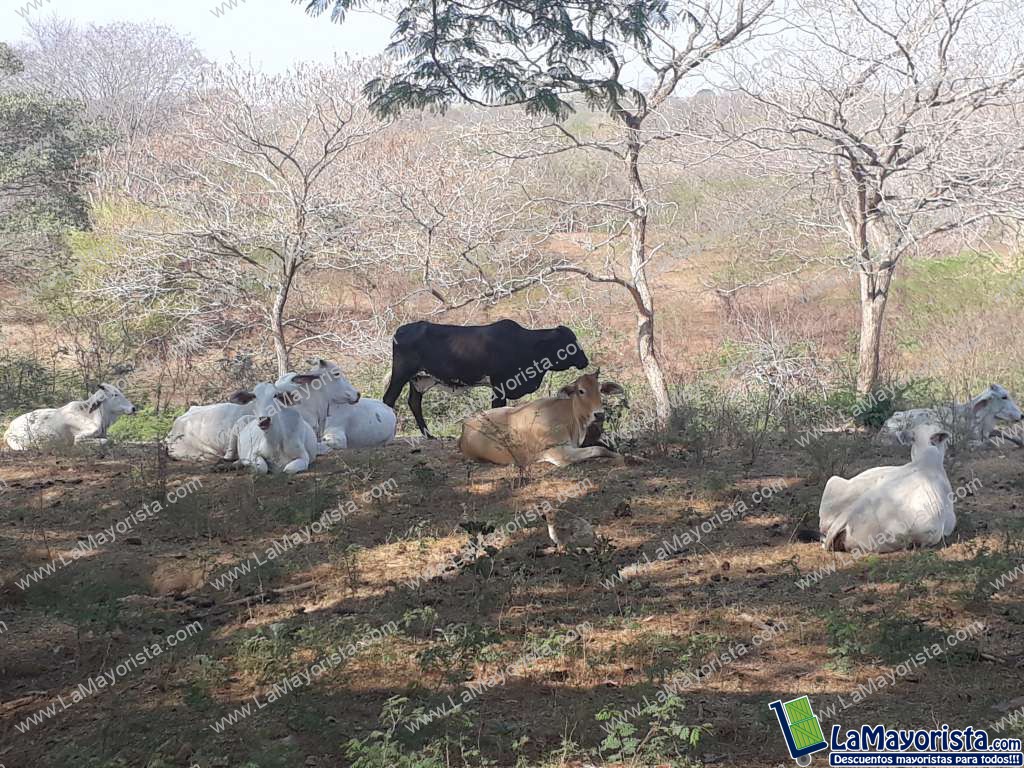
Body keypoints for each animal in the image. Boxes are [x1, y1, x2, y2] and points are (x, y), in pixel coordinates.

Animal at [382, 320, 589, 438]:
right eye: (568, 342)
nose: (585, 360)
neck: (525, 345)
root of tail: (401, 329)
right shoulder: (500, 385)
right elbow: (498, 409)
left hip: (419, 379)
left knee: (414, 402)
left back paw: (429, 436)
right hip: (401, 374)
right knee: (389, 399)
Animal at [458, 371, 624, 467]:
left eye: (600, 389)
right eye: (581, 391)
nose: (599, 414)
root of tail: (465, 425)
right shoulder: (559, 452)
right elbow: (599, 449)